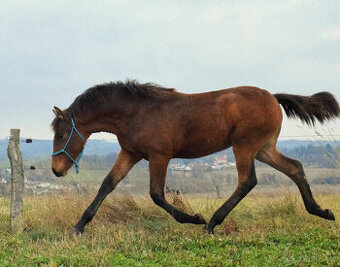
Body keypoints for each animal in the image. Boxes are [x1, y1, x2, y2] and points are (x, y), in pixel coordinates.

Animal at [51, 80, 340, 236]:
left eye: (62, 134)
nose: (56, 170)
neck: (137, 112)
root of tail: (273, 97)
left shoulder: (159, 156)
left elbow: (156, 194)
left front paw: (195, 218)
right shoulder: (130, 153)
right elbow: (107, 185)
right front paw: (78, 227)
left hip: (245, 146)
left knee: (247, 181)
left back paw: (211, 224)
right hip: (264, 149)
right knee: (295, 168)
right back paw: (321, 211)